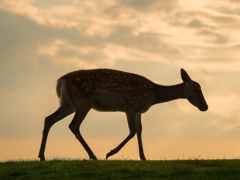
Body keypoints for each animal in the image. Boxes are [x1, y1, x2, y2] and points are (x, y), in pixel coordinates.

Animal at [38, 68, 207, 161]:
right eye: (198, 90)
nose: (205, 106)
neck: (153, 95)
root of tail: (61, 81)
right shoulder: (130, 107)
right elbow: (132, 132)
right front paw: (110, 153)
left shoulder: (139, 111)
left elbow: (139, 131)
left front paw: (143, 157)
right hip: (83, 101)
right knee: (74, 126)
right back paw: (94, 156)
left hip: (68, 103)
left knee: (48, 119)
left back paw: (42, 156)